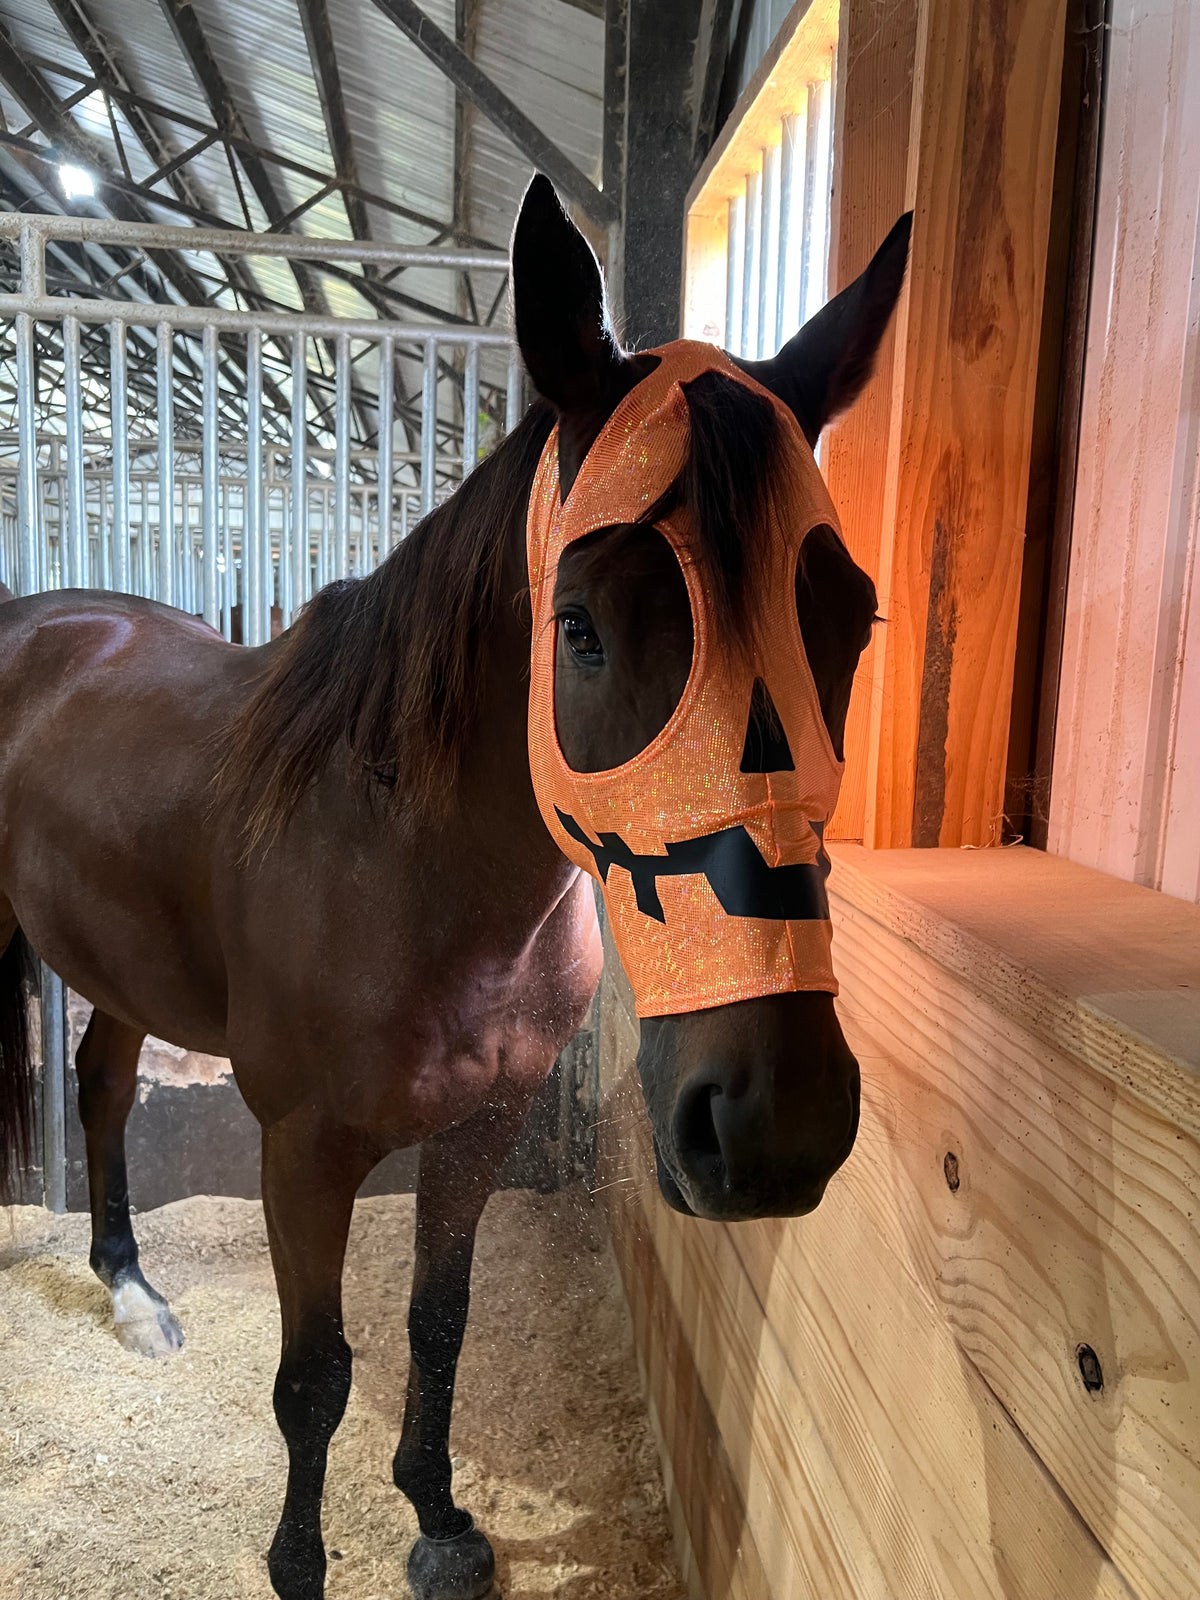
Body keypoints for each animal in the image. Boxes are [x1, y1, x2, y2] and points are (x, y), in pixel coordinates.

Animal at [0, 175, 909, 1600]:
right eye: (579, 623)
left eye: (851, 619)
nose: (777, 1121)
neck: (418, 875)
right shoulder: (305, 1151)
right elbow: (315, 1379)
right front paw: (302, 1565)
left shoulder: (482, 1126)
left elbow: (439, 1324)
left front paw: (435, 1518)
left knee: (98, 1087)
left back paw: (134, 1291)